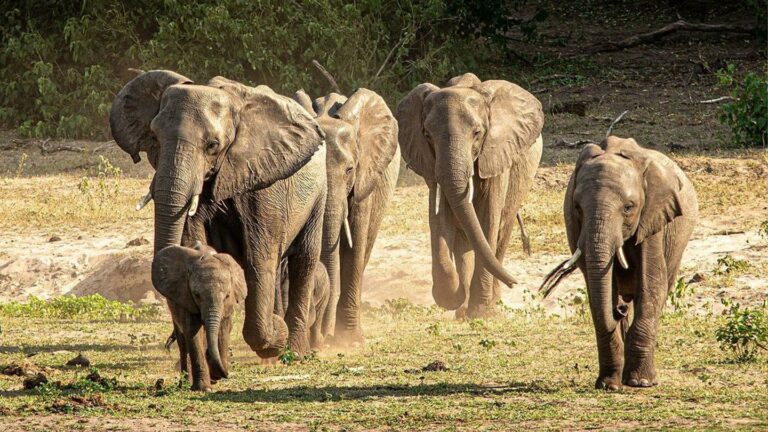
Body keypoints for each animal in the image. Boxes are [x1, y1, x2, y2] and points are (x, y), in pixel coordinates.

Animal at [109, 71, 328, 360]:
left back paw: (295, 351)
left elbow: (260, 259)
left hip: (319, 194)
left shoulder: (266, 184)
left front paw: (274, 334)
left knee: (304, 259)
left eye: (213, 145)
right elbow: (192, 238)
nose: (172, 340)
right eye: (154, 137)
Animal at [152, 243, 244, 392]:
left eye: (227, 296)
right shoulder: (186, 298)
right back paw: (183, 383)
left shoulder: (227, 306)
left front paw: (214, 377)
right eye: (197, 295)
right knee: (183, 343)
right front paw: (204, 388)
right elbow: (193, 332)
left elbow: (223, 330)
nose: (226, 374)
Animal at [396, 72, 544, 318]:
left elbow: (487, 221)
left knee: (500, 235)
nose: (515, 282)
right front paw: (453, 297)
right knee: (464, 241)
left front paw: (482, 313)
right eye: (427, 135)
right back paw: (463, 310)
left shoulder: (495, 156)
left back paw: (492, 302)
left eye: (477, 133)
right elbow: (442, 221)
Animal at [540, 137, 696, 390]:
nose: (619, 311)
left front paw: (641, 382)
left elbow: (652, 285)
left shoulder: (653, 219)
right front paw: (608, 385)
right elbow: (601, 290)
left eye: (629, 207)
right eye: (577, 207)